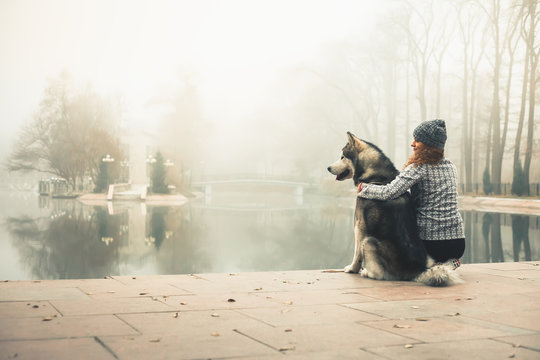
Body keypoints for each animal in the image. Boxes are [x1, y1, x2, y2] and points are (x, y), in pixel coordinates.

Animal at [326, 132, 462, 286]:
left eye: (342, 156)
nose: (328, 168)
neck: (377, 178)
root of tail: (416, 270)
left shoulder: (359, 225)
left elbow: (357, 253)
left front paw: (352, 268)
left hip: (369, 241)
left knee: (379, 273)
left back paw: (366, 272)